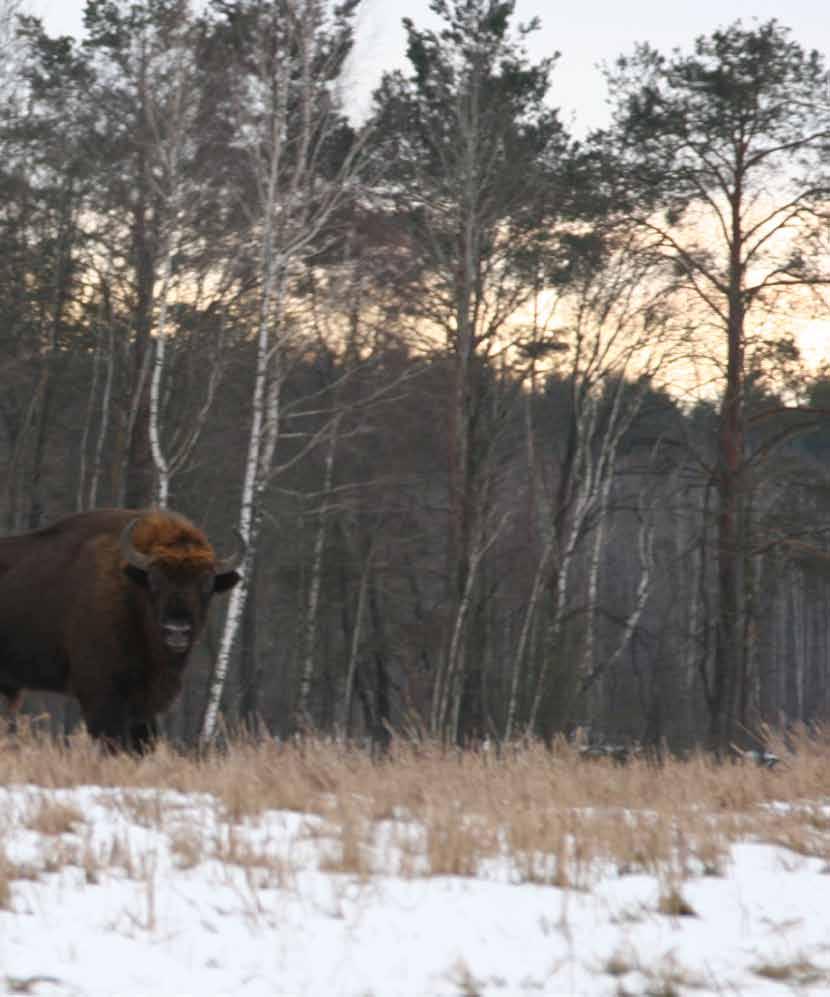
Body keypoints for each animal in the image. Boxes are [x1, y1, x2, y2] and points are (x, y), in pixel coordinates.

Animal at [0, 510, 244, 752]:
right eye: (155, 580)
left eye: (207, 583)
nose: (177, 630)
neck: (132, 592)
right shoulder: (101, 693)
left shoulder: (143, 703)